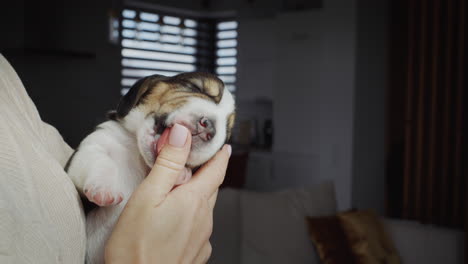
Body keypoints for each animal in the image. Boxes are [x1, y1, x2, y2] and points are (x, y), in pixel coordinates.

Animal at [65, 72, 238, 264]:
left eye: (227, 133)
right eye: (195, 87)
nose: (209, 127)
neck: (140, 157)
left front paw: (181, 173)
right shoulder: (91, 147)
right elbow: (101, 161)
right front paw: (103, 189)